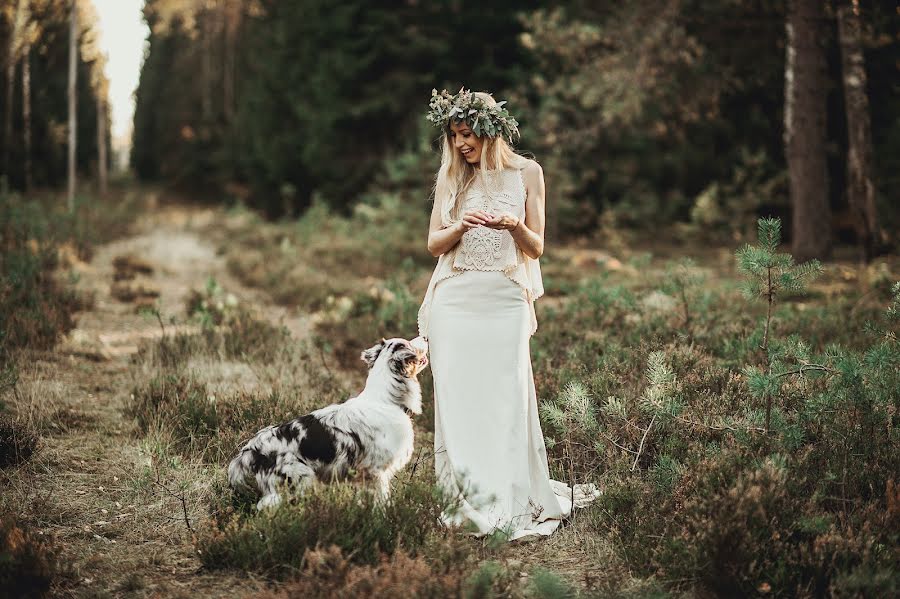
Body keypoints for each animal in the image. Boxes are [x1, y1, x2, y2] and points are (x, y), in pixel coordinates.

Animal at [227, 336, 428, 508]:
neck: (385, 400)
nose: (426, 337)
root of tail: (251, 450)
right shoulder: (377, 472)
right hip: (298, 481)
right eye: (409, 342)